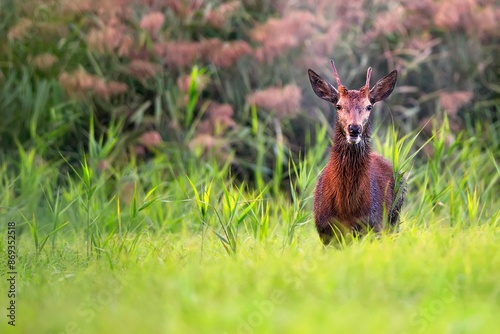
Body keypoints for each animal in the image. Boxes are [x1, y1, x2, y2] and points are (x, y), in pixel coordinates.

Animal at [308, 60, 406, 244]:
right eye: (338, 105)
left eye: (369, 106)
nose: (354, 128)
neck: (346, 207)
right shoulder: (324, 230)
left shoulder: (373, 225)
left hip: (394, 216)